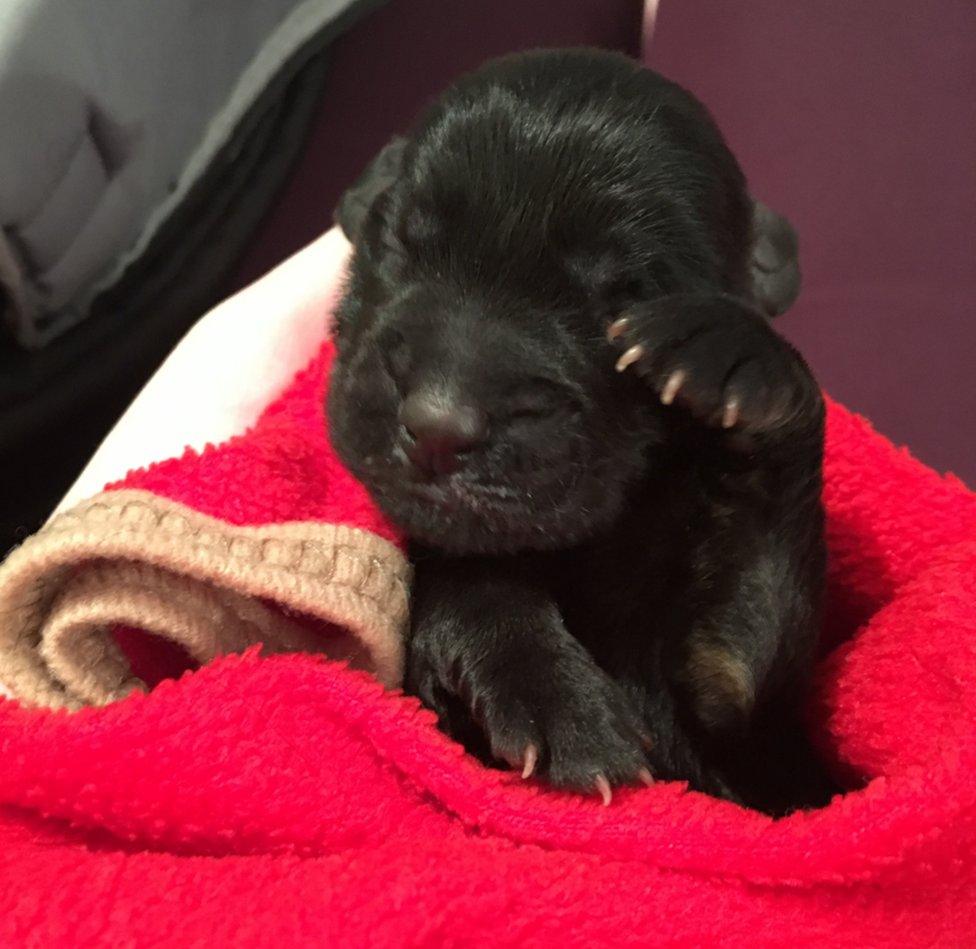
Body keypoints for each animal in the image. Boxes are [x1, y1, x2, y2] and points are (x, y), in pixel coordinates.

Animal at [328, 48, 832, 812]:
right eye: (399, 239)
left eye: (626, 296)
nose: (437, 424)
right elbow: (470, 578)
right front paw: (561, 702)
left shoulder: (735, 703)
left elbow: (754, 624)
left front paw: (736, 346)